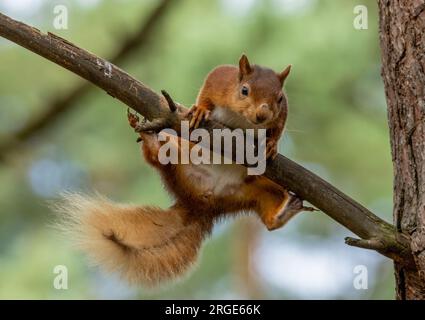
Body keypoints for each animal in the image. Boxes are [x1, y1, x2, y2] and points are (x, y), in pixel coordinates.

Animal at [57, 54, 312, 284]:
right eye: (244, 90)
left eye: (279, 98)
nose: (261, 115)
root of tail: (201, 203)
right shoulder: (220, 79)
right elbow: (207, 91)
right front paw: (199, 109)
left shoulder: (281, 114)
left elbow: (278, 127)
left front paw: (271, 144)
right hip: (177, 158)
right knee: (155, 157)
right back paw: (150, 138)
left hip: (259, 188)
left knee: (270, 219)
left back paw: (287, 209)